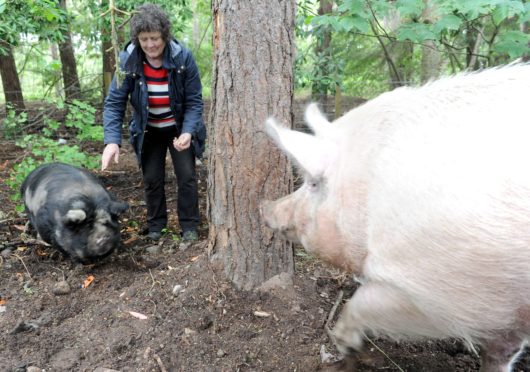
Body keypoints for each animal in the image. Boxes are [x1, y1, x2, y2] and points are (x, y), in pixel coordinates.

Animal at [260, 62, 528, 370]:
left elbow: (364, 301)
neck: (368, 193)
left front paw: (343, 344)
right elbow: (500, 351)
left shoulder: (441, 291)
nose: (264, 207)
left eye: (313, 183)